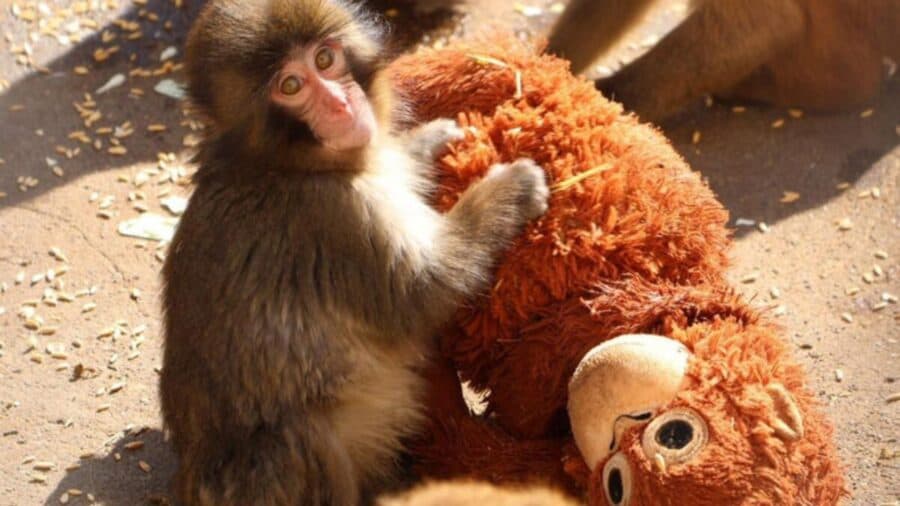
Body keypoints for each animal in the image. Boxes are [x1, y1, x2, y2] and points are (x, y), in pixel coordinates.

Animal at [158, 1, 550, 505]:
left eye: (325, 59)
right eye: (291, 86)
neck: (283, 164)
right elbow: (423, 290)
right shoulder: (336, 217)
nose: (341, 105)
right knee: (300, 435)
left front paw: (427, 141)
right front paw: (511, 189)